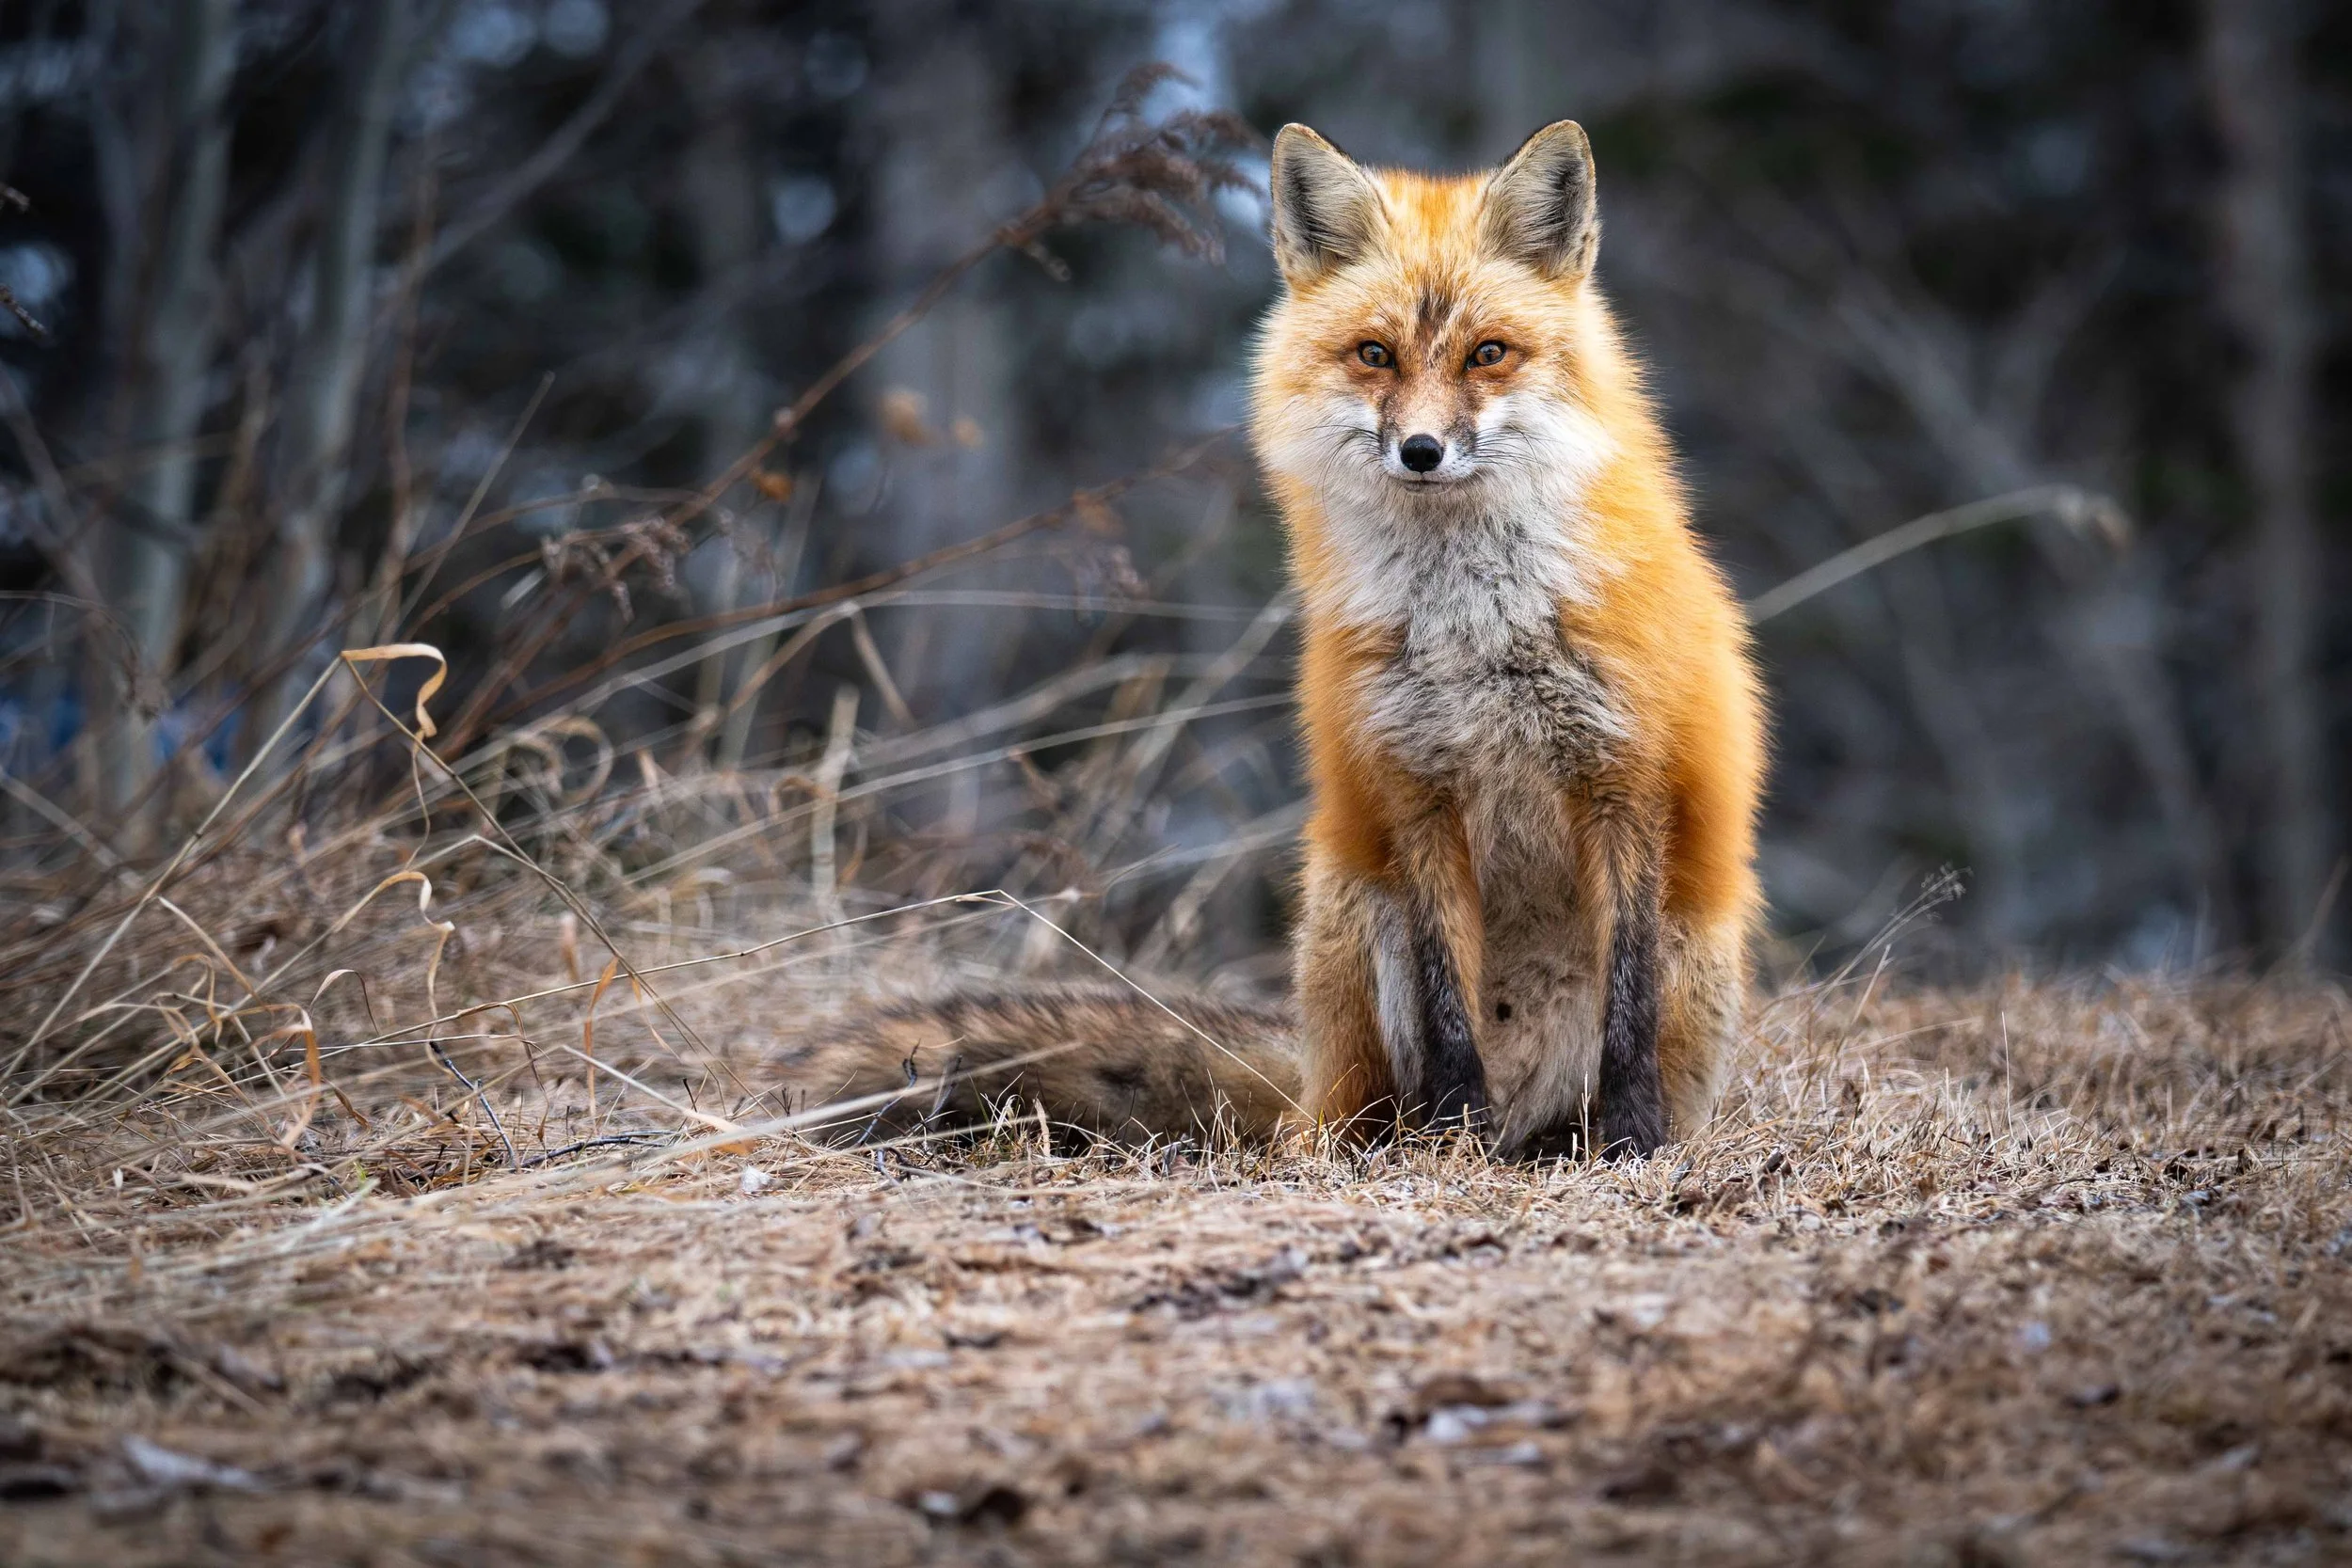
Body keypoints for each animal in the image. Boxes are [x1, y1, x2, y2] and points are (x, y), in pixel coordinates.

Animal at [782, 121, 1765, 1161]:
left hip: (1692, 946)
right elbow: (1447, 1000)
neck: (1474, 625)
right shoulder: (1414, 789)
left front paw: (1634, 1140)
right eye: (1374, 353)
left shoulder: (1624, 780)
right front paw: (1454, 1130)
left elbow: (1627, 1007)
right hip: (1351, 910)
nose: (1421, 451)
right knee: (1350, 1112)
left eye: (1487, 353)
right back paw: (1418, 1138)